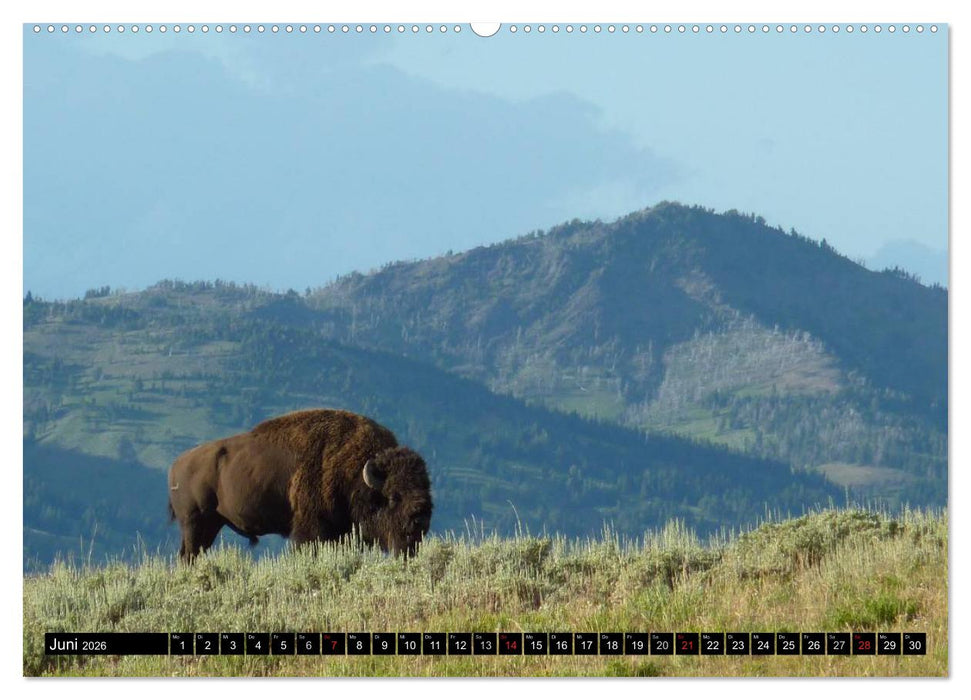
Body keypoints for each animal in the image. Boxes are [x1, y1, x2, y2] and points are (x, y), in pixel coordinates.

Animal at [167, 409, 433, 561]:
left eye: (426, 489)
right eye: (394, 496)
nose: (420, 518)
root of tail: (177, 464)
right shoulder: (311, 530)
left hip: (212, 524)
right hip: (194, 522)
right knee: (188, 555)